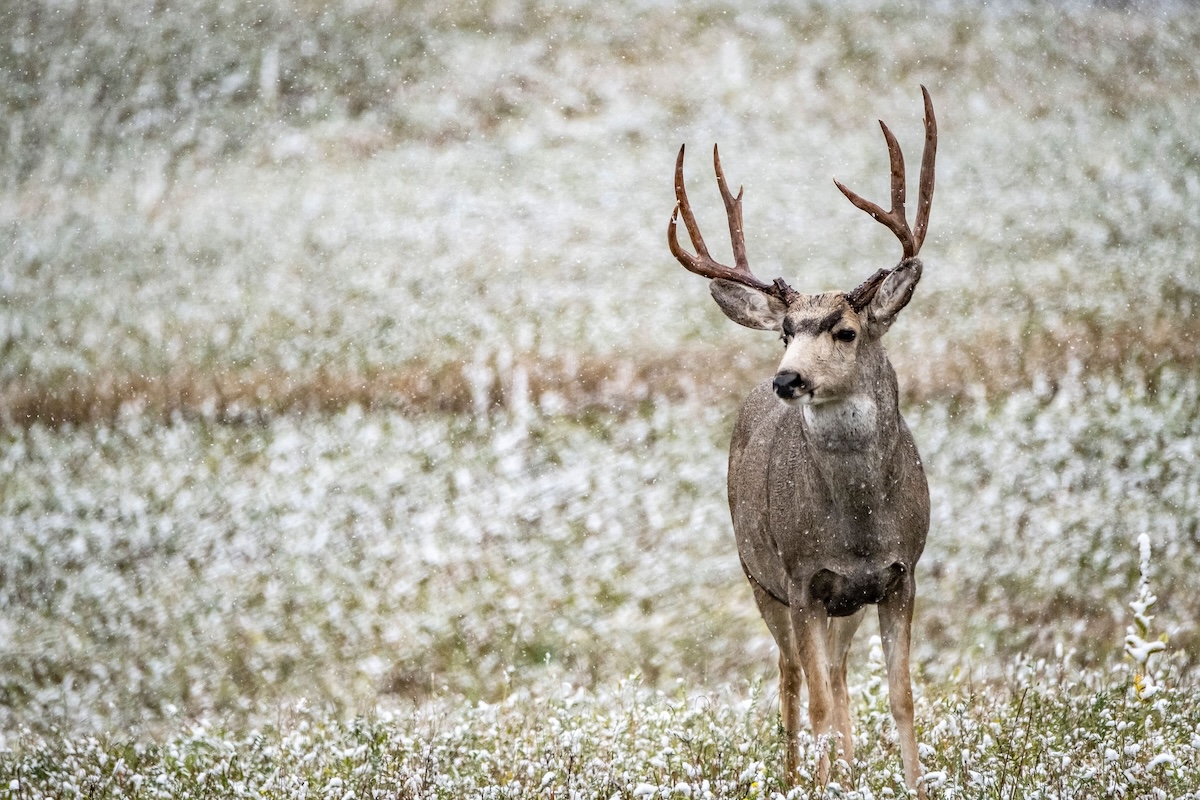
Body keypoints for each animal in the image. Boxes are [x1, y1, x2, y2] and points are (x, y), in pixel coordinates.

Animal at [667, 88, 937, 794]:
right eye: (786, 329)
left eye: (845, 330)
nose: (787, 378)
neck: (858, 525)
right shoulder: (801, 578)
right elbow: (813, 700)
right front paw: (822, 784)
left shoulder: (899, 573)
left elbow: (900, 696)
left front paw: (915, 785)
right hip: (758, 576)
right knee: (792, 677)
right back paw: (797, 775)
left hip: (845, 603)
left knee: (838, 678)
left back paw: (847, 767)